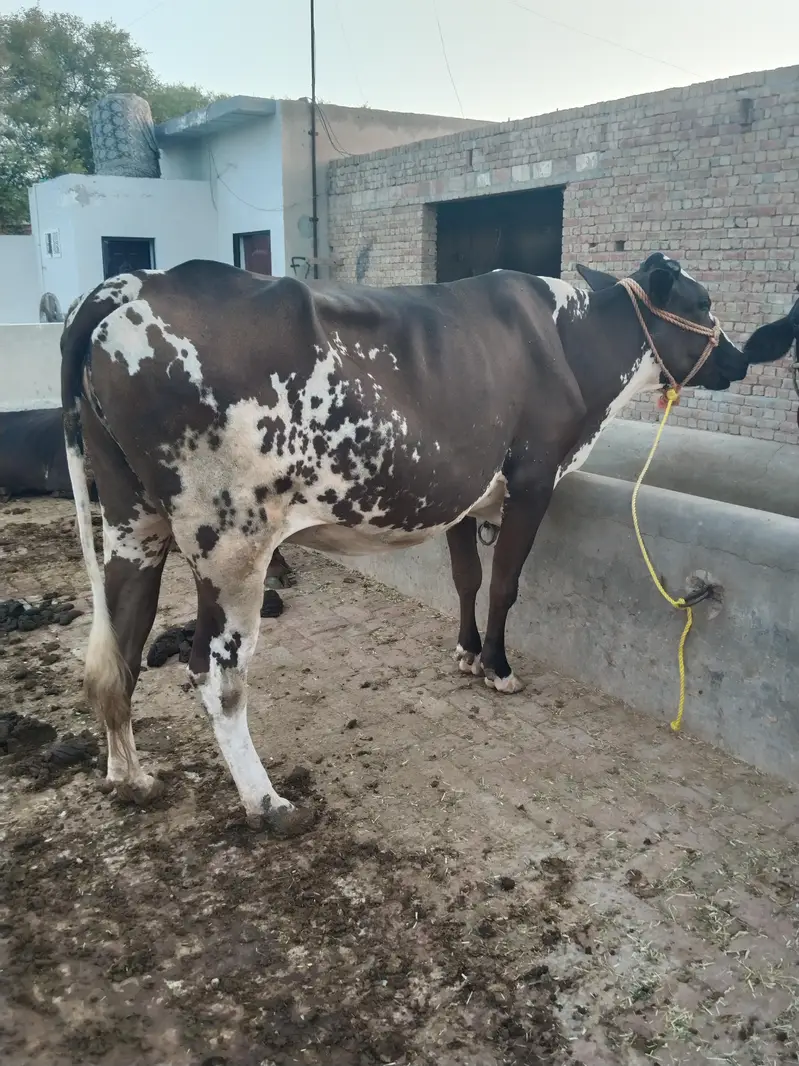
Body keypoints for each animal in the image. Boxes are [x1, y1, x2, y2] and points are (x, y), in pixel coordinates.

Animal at [60, 256, 799, 833]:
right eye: (701, 303)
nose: (738, 357)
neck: (571, 346)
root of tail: (131, 284)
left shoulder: (462, 494)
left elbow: (466, 578)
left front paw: (466, 653)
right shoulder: (533, 479)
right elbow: (505, 583)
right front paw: (498, 666)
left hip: (132, 522)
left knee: (118, 650)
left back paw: (131, 780)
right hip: (231, 540)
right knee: (216, 674)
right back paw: (267, 803)